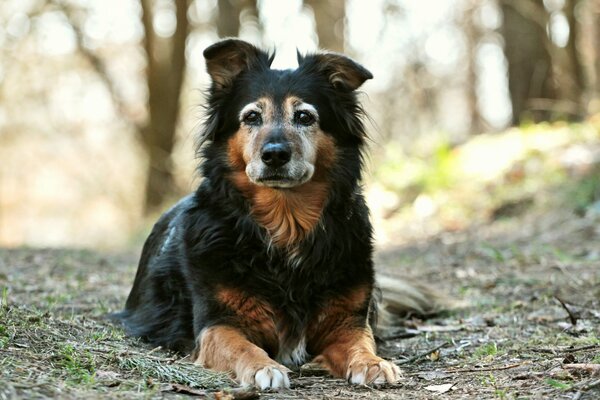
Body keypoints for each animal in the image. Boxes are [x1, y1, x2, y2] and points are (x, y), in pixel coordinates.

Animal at [116, 39, 436, 390]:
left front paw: (373, 362)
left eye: (305, 116)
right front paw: (263, 367)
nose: (275, 155)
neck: (286, 225)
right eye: (252, 116)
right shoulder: (216, 324)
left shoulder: (347, 321)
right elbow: (241, 345)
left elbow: (361, 341)